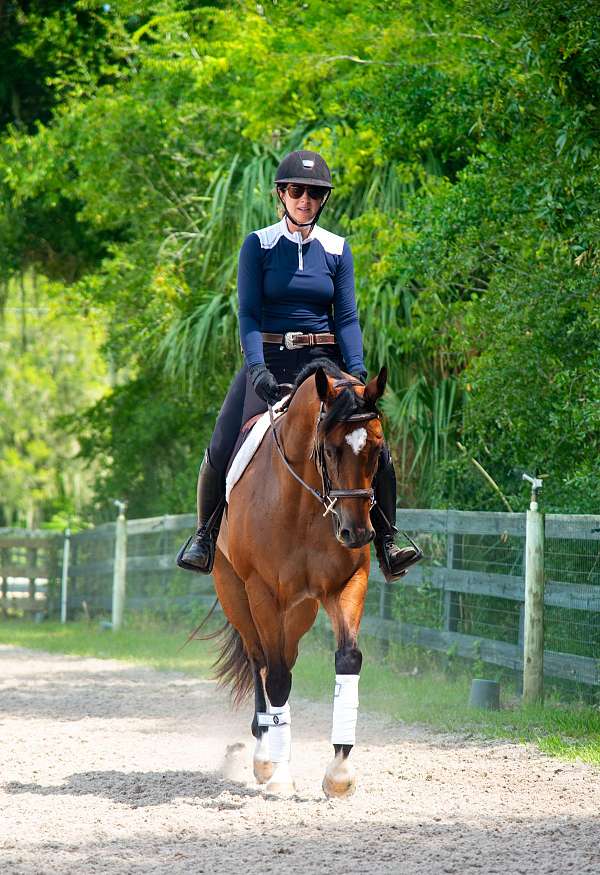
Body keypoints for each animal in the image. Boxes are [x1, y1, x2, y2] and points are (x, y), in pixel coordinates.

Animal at [211, 359, 387, 798]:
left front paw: (339, 772)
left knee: (286, 657)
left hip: (300, 610)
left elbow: (348, 659)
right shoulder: (261, 592)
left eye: (378, 451)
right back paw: (264, 756)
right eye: (330, 449)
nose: (356, 533)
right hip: (236, 594)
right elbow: (274, 676)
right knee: (261, 660)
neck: (303, 504)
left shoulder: (346, 584)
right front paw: (279, 775)